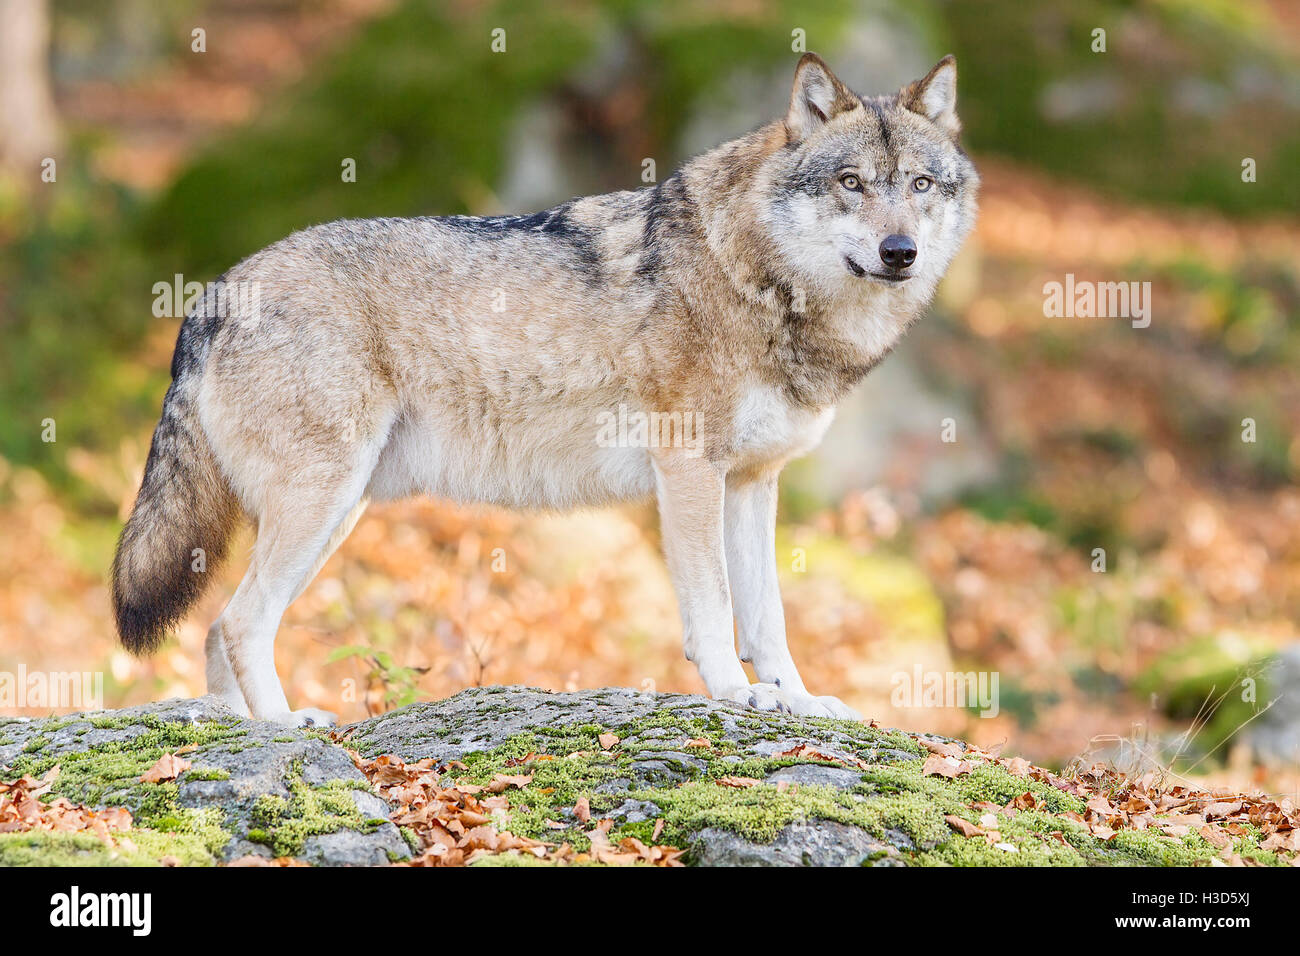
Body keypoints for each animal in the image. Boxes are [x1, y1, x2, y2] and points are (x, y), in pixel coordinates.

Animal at [111, 54, 977, 723]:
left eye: (921, 185)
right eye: (851, 182)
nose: (899, 252)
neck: (759, 281)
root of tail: (214, 291)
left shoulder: (753, 484)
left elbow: (770, 620)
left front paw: (796, 701)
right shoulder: (688, 471)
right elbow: (714, 609)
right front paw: (735, 696)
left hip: (335, 513)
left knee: (214, 629)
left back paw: (242, 727)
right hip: (321, 505)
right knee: (238, 623)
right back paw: (288, 727)